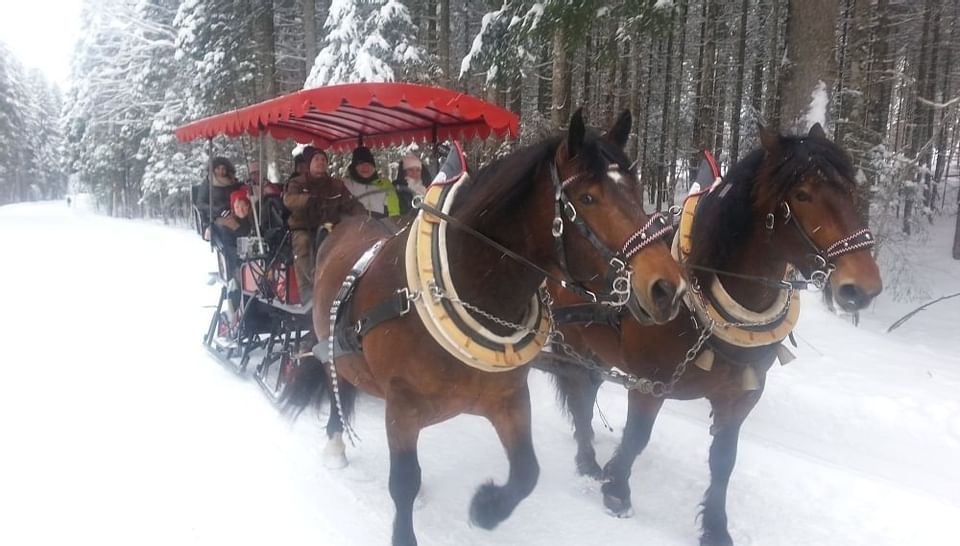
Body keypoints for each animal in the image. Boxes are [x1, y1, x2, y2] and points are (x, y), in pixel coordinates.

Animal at [282, 108, 688, 540]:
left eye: (637, 190)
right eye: (588, 198)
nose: (667, 288)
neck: (468, 293)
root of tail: (344, 224)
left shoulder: (508, 398)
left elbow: (527, 472)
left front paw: (486, 508)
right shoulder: (402, 405)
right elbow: (404, 481)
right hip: (331, 345)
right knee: (335, 383)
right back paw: (334, 444)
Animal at [544, 124, 880, 544]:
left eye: (850, 190)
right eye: (802, 194)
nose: (863, 287)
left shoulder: (740, 396)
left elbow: (724, 460)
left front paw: (716, 527)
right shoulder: (651, 383)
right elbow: (637, 436)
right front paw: (616, 489)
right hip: (573, 342)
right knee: (579, 397)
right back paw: (587, 460)